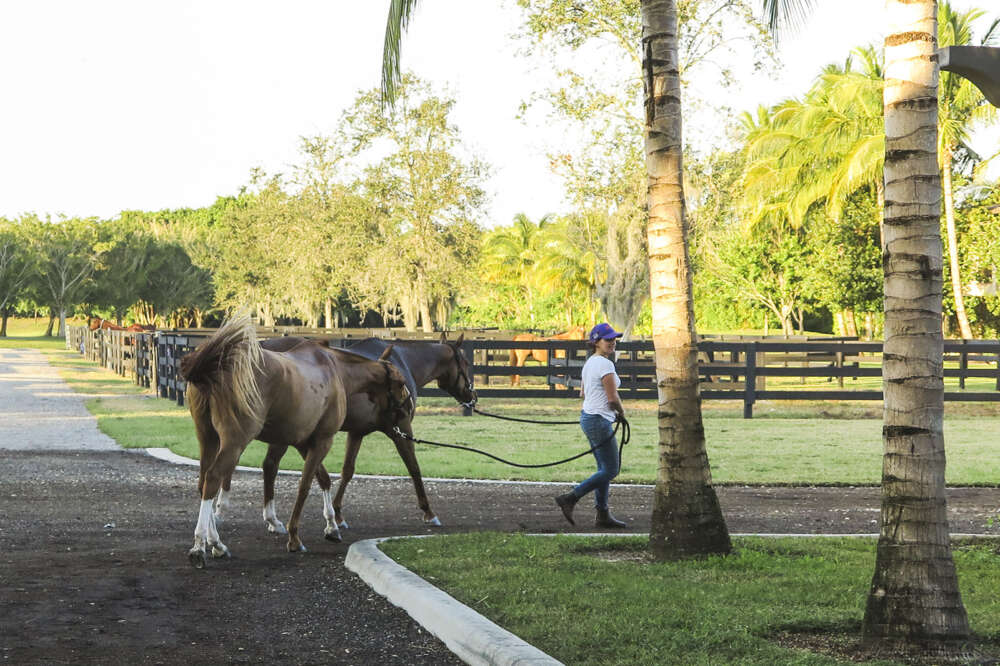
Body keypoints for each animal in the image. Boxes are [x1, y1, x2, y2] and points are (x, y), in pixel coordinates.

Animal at [180, 312, 410, 564]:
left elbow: (323, 479)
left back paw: (216, 543)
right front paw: (295, 538)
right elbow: (305, 485)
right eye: (400, 383)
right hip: (234, 442)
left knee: (203, 482)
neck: (333, 368)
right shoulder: (323, 440)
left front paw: (331, 526)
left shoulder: (303, 442)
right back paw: (200, 546)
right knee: (213, 479)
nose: (407, 408)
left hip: (208, 438)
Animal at [214, 330, 476, 536]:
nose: (472, 397)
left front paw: (337, 514)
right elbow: (413, 467)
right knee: (264, 465)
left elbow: (347, 471)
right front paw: (429, 512)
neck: (402, 363)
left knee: (259, 465)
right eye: (465, 363)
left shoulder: (357, 432)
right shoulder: (400, 428)